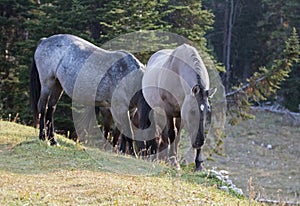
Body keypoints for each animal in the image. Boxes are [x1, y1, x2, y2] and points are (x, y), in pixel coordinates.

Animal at [142, 43, 216, 171]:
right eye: (193, 111)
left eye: (208, 110)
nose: (198, 142)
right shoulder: (168, 110)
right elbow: (171, 134)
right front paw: (173, 161)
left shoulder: (181, 114)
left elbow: (178, 136)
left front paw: (199, 165)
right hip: (158, 111)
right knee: (161, 133)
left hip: (177, 116)